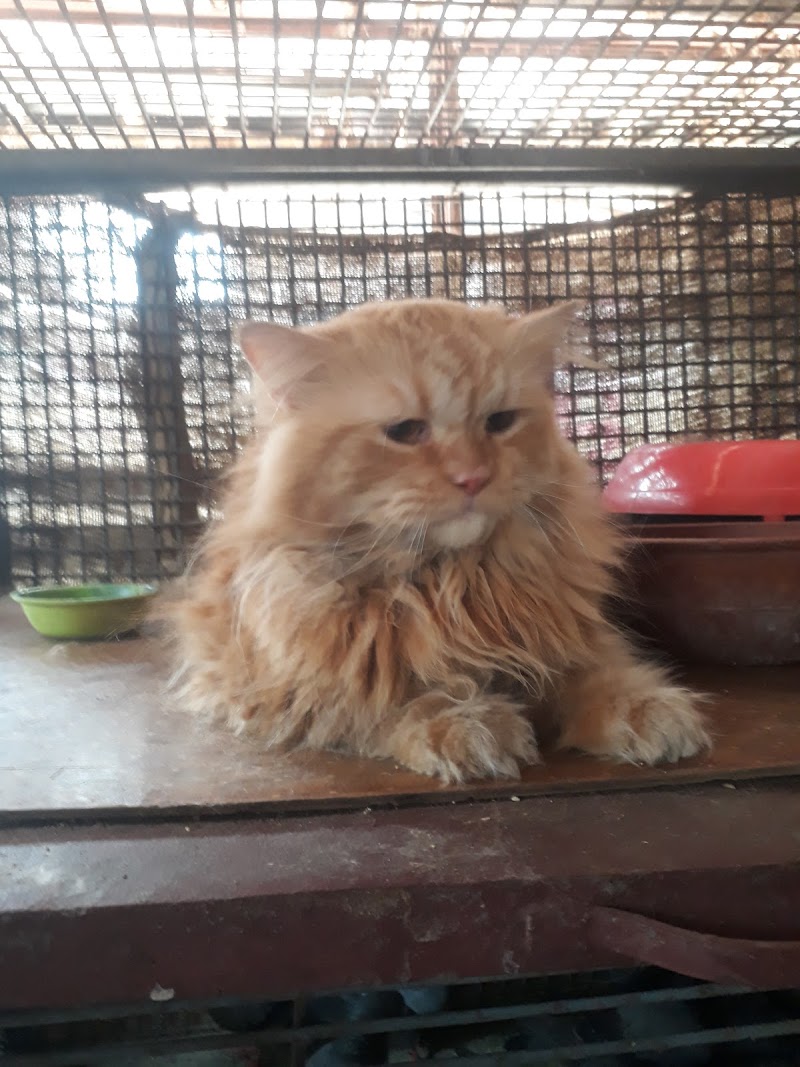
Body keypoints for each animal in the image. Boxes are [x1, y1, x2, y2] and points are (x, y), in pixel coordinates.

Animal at [160, 298, 709, 783]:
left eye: (500, 422)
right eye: (406, 431)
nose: (474, 478)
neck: (449, 581)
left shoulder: (568, 640)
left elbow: (601, 676)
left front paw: (645, 709)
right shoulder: (277, 690)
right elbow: (390, 700)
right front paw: (467, 723)